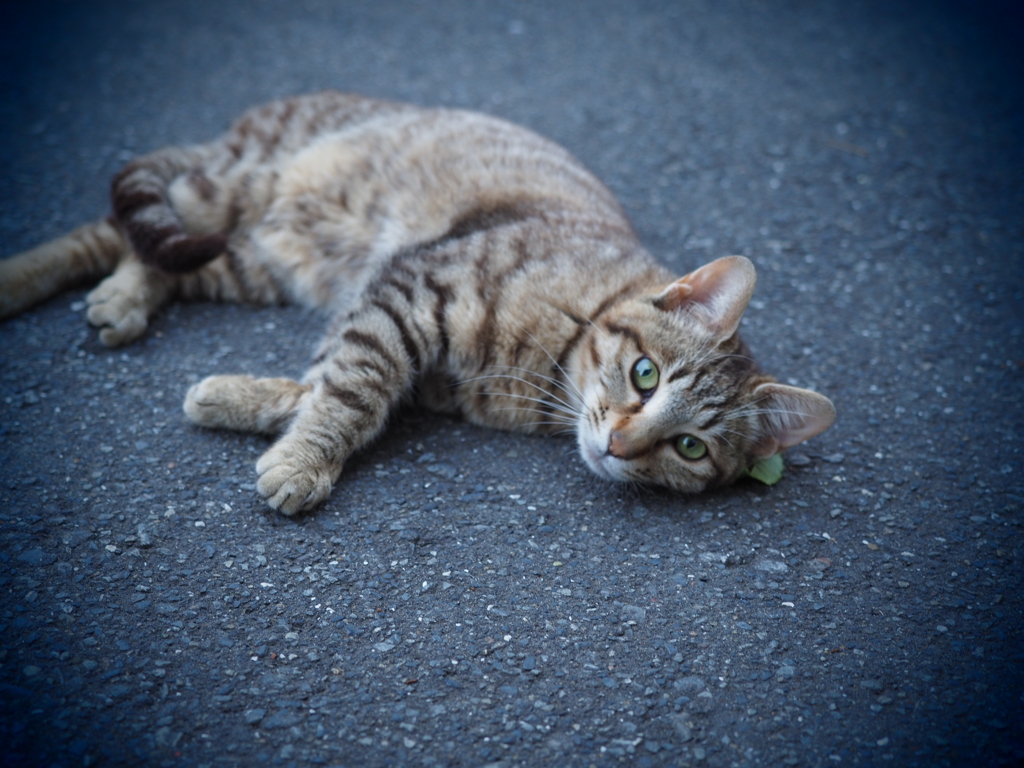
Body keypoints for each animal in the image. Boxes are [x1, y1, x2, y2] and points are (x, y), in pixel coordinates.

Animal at [0, 91, 831, 518]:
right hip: (230, 190)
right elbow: (351, 390)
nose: (622, 447)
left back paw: (123, 296)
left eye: (689, 448)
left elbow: (329, 380)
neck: (550, 366)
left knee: (153, 252)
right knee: (111, 229)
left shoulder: (391, 324)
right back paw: (33, 282)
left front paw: (244, 405)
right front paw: (302, 459)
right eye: (645, 375)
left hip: (249, 260)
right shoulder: (410, 290)